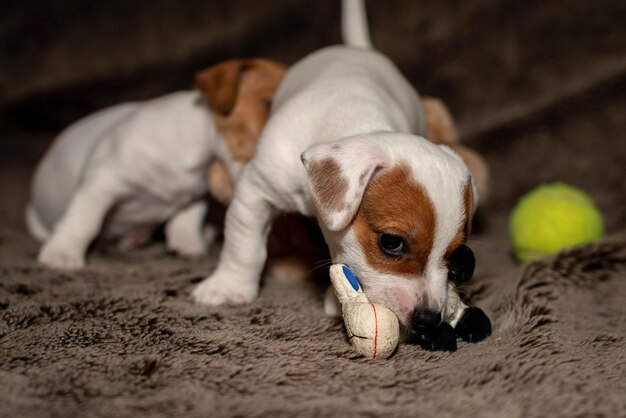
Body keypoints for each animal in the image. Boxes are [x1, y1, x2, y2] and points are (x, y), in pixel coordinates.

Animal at [26, 58, 286, 270]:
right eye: (269, 103)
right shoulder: (102, 181)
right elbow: (84, 219)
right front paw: (63, 253)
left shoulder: (196, 193)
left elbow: (188, 216)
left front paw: (188, 242)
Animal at [193, 0, 490, 352]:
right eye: (392, 242)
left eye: (456, 254)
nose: (429, 320)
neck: (359, 118)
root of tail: (357, 49)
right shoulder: (256, 190)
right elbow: (245, 245)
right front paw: (229, 286)